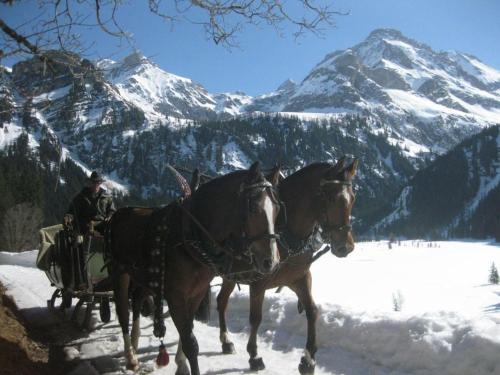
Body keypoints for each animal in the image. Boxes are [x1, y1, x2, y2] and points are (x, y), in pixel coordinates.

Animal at [108, 163, 282, 375]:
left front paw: (181, 364)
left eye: (277, 209)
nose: (272, 262)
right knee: (123, 312)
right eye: (253, 208)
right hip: (119, 272)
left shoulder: (196, 292)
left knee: (138, 298)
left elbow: (188, 328)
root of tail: (118, 213)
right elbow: (190, 342)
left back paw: (134, 342)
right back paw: (130, 356)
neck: (190, 234)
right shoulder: (175, 295)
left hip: (144, 276)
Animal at [213, 157, 358, 374]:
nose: (346, 247)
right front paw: (254, 355)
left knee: (222, 301)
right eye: (332, 198)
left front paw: (308, 359)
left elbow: (312, 311)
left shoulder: (300, 278)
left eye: (353, 198)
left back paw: (226, 341)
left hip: (230, 275)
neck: (287, 232)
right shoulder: (258, 282)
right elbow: (255, 318)